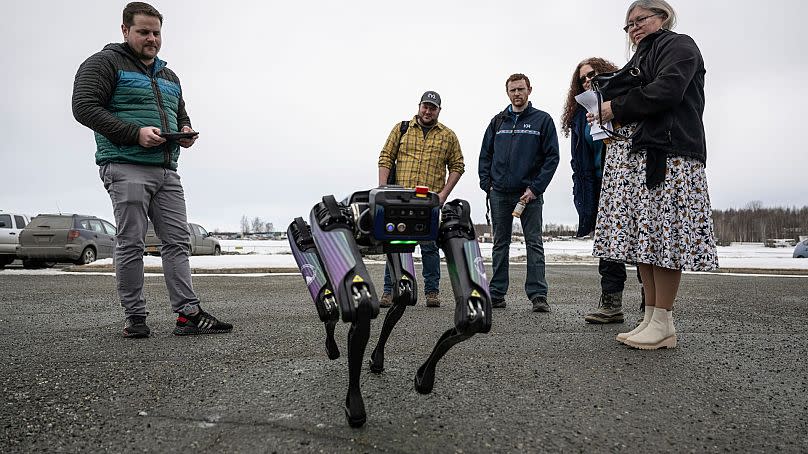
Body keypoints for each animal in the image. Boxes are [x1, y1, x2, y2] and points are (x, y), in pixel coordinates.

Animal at [290, 186, 492, 428]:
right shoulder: (335, 220)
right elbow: (361, 308)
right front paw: (354, 405)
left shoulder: (448, 226)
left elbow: (467, 322)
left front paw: (424, 377)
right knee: (334, 305)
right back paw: (332, 341)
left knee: (404, 291)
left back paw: (376, 358)